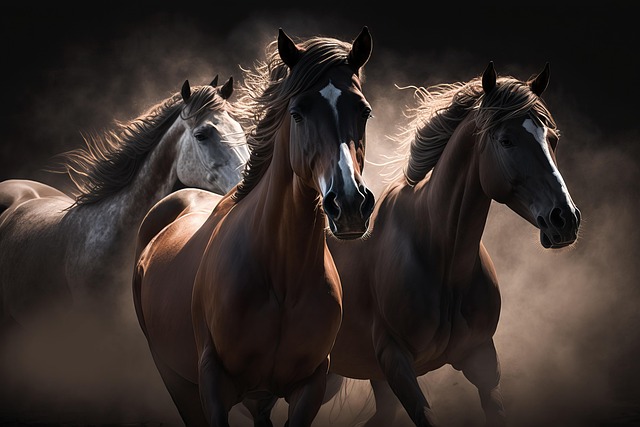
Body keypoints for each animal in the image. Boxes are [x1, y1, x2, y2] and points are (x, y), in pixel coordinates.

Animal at [132, 27, 375, 427]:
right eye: (297, 113)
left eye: (364, 111)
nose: (351, 204)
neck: (282, 276)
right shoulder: (213, 384)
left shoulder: (310, 385)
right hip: (175, 379)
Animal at [322, 62, 582, 426]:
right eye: (506, 140)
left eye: (552, 140)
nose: (565, 219)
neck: (444, 261)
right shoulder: (395, 360)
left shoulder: (481, 359)